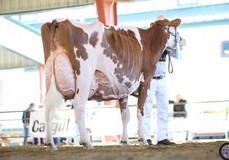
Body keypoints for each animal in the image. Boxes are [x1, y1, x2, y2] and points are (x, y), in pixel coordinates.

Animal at [40, 18, 181, 151]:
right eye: (175, 29)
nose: (181, 40)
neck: (148, 43)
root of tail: (59, 21)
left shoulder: (124, 88)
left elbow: (125, 115)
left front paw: (125, 141)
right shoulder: (145, 82)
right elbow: (140, 112)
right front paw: (143, 140)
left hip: (49, 75)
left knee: (48, 108)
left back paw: (50, 143)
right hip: (84, 74)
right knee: (79, 104)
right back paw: (86, 142)